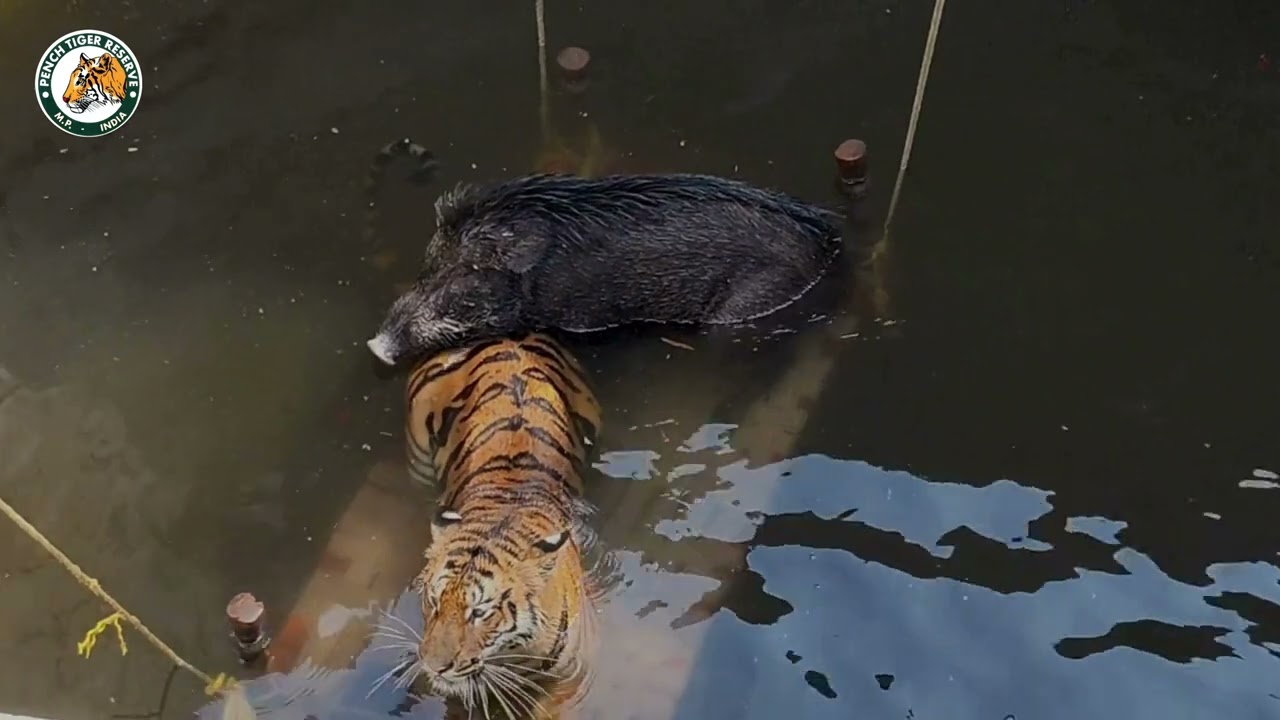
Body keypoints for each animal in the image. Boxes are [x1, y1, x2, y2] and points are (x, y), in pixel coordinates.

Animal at [398, 332, 607, 719]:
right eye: (434, 600)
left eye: (480, 612)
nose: (433, 666)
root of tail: (511, 337)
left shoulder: (566, 678)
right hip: (418, 457)